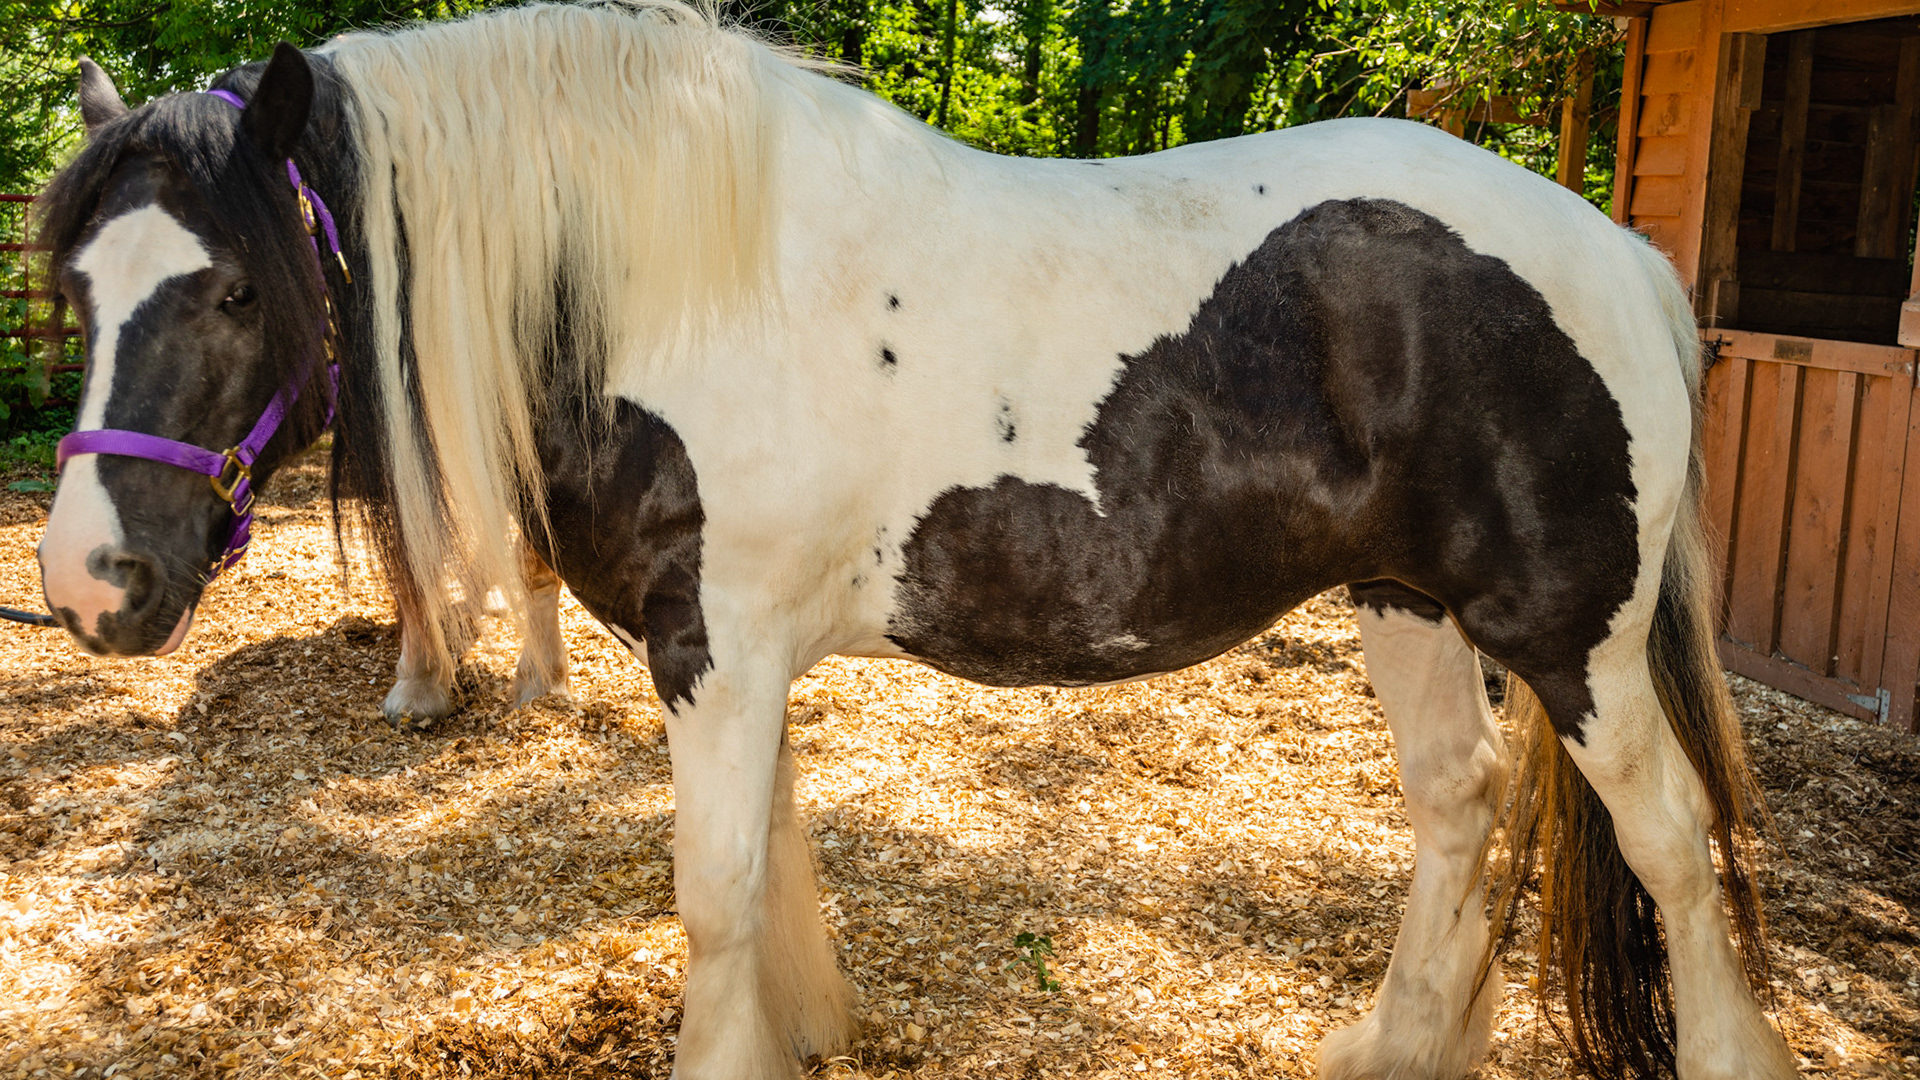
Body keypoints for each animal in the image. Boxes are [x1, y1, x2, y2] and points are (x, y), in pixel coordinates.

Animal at [32, 5, 1795, 1078]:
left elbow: (716, 893)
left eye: (233, 287)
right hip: (1408, 603)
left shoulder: (718, 649)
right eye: (74, 286)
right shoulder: (720, 654)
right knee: (1459, 807)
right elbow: (768, 873)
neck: (664, 278)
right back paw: (1390, 1046)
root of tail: (1619, 250)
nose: (88, 584)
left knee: (1674, 845)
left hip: (1570, 635)